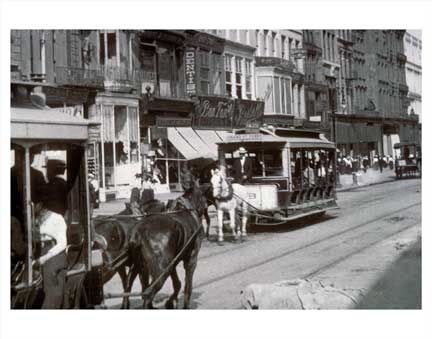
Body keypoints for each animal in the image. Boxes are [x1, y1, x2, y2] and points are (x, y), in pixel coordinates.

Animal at [125, 171, 205, 310]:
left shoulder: (173, 262)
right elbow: (187, 287)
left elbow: (177, 283)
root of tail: (139, 233)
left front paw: (171, 302)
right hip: (161, 271)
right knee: (148, 295)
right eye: (203, 196)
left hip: (140, 267)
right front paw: (183, 305)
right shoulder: (191, 260)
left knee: (129, 288)